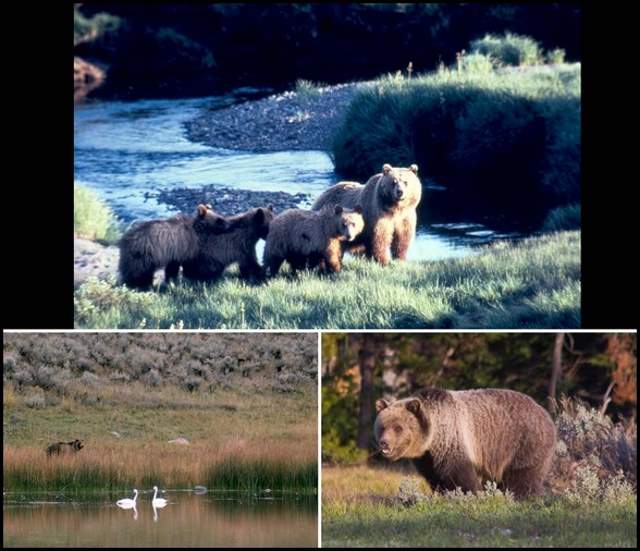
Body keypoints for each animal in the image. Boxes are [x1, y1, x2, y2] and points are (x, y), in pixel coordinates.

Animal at [372, 388, 556, 500]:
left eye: (398, 427)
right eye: (382, 426)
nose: (384, 443)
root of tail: (546, 414)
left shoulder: (453, 439)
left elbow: (459, 473)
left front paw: (470, 494)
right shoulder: (426, 457)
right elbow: (434, 475)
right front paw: (443, 493)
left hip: (522, 441)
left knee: (522, 475)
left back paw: (522, 496)